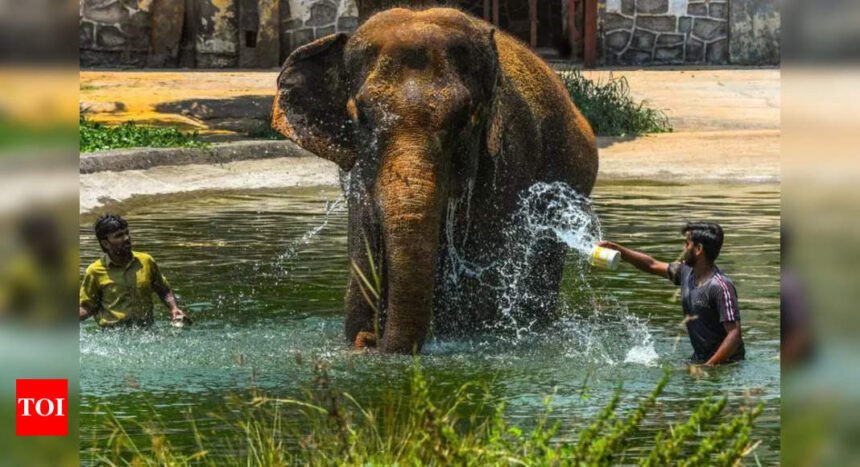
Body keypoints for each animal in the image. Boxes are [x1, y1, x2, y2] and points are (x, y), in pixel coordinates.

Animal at [272, 7, 598, 354]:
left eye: (465, 118)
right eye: (361, 116)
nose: (372, 341)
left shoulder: (510, 155)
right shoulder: (358, 172)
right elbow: (364, 238)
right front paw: (362, 334)